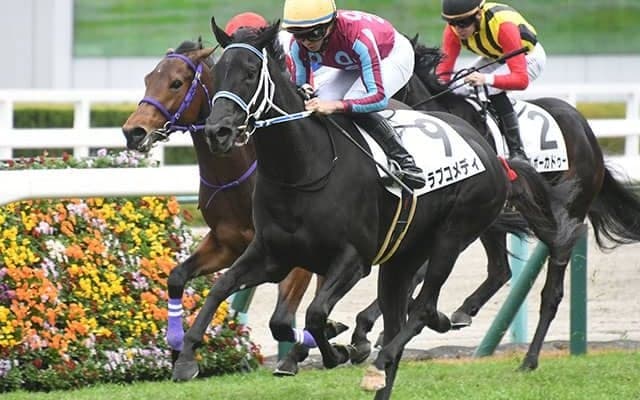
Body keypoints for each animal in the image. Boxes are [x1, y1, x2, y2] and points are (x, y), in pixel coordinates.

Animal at [121, 37, 348, 374]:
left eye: (176, 83)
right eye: (149, 78)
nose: (133, 131)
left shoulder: (296, 254)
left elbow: (283, 318)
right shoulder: (226, 243)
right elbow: (177, 276)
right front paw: (178, 347)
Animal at [172, 19, 568, 399]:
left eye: (252, 71)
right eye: (219, 72)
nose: (218, 132)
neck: (303, 167)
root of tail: (494, 155)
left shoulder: (352, 260)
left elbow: (315, 314)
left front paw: (335, 351)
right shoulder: (271, 254)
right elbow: (227, 292)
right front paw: (186, 356)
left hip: (452, 237)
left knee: (423, 307)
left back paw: (385, 355)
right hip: (401, 258)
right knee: (405, 314)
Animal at [392, 38, 640, 371]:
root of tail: (586, 129)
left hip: (565, 211)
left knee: (551, 292)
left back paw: (529, 359)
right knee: (501, 270)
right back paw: (465, 312)